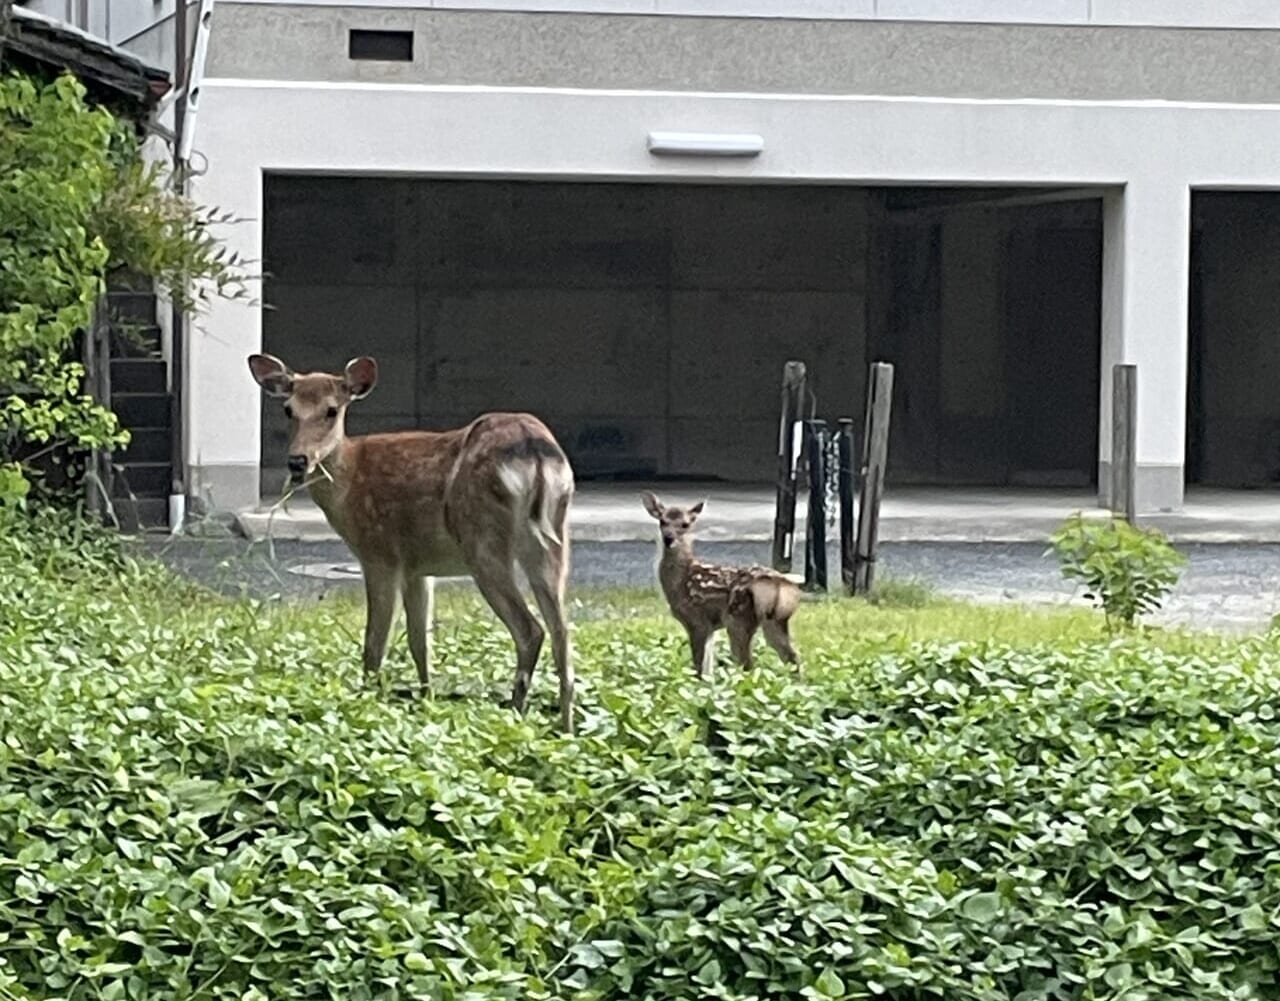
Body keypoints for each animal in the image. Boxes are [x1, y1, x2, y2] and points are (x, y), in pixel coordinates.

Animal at [245, 355, 576, 732]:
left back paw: (515, 712)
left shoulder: (380, 553)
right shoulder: (418, 567)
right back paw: (565, 726)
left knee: (531, 630)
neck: (347, 483)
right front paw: (426, 700)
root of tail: (534, 448)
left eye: (332, 410)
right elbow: (421, 641)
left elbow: (375, 643)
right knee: (563, 633)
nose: (297, 461)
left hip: (482, 541)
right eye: (288, 409)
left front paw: (365, 702)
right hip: (553, 539)